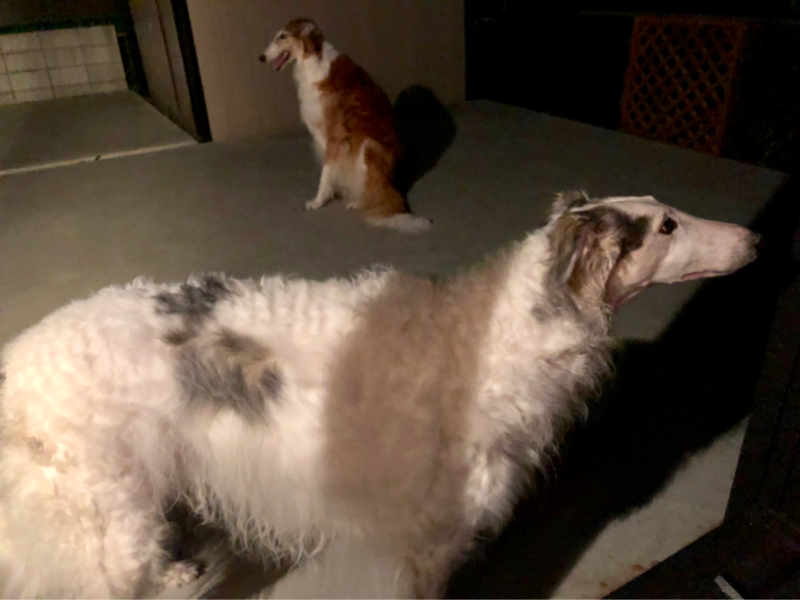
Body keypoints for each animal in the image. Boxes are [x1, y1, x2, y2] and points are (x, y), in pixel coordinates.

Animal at [0, 193, 760, 600]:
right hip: (112, 513)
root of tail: (18, 367)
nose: (755, 237)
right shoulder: (433, 542)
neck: (495, 336)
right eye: (667, 225)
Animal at [259, 18, 431, 234]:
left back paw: (359, 202)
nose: (261, 57)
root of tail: (392, 187)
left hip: (368, 147)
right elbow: (331, 174)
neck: (313, 61)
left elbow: (325, 174)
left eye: (282, 36)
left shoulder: (335, 137)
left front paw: (317, 202)